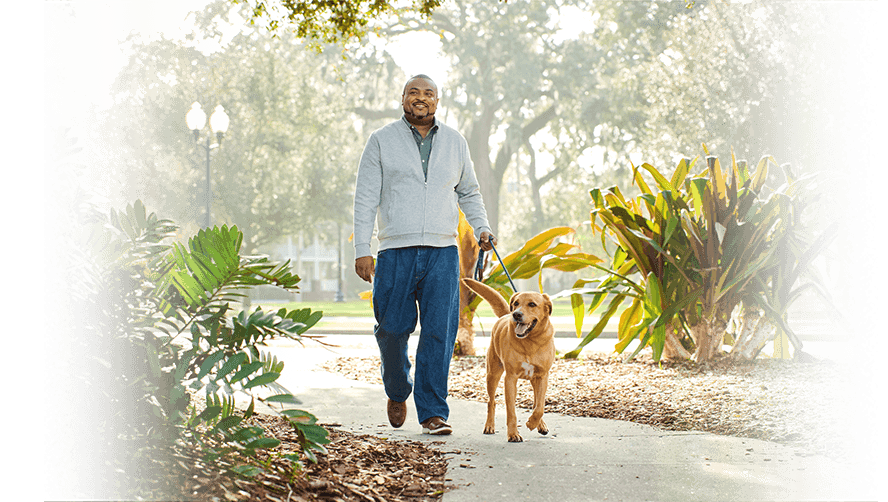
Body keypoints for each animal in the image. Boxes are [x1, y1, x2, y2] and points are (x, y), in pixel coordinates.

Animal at [458, 276, 556, 442]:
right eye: (516, 303)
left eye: (532, 304)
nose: (516, 314)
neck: (530, 342)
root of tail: (504, 315)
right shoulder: (510, 378)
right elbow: (511, 411)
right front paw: (513, 434)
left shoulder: (543, 376)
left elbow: (540, 406)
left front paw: (533, 423)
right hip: (492, 374)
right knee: (491, 402)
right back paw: (489, 426)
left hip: (533, 379)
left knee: (536, 402)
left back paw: (540, 424)